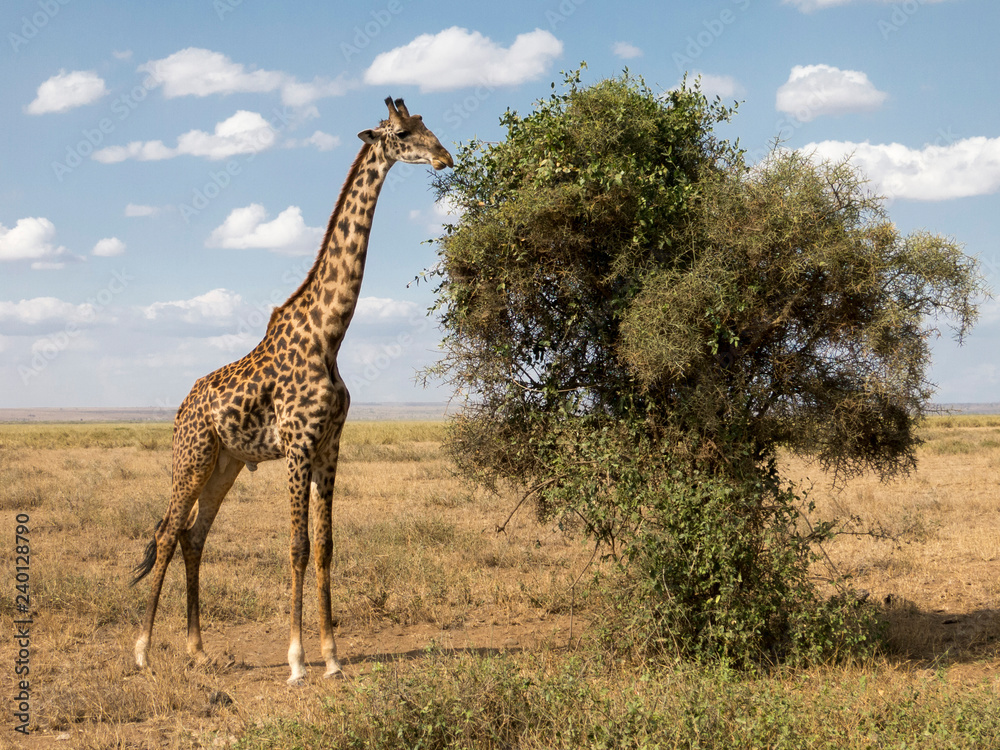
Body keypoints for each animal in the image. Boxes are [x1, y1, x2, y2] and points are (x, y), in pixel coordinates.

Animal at [131, 97, 453, 686]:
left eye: (425, 125)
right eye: (401, 134)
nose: (444, 155)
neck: (331, 333)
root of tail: (181, 409)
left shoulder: (330, 446)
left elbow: (326, 547)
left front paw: (332, 656)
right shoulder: (299, 446)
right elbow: (299, 547)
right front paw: (298, 660)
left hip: (225, 463)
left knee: (193, 536)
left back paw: (198, 650)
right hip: (191, 457)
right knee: (166, 534)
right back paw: (143, 652)